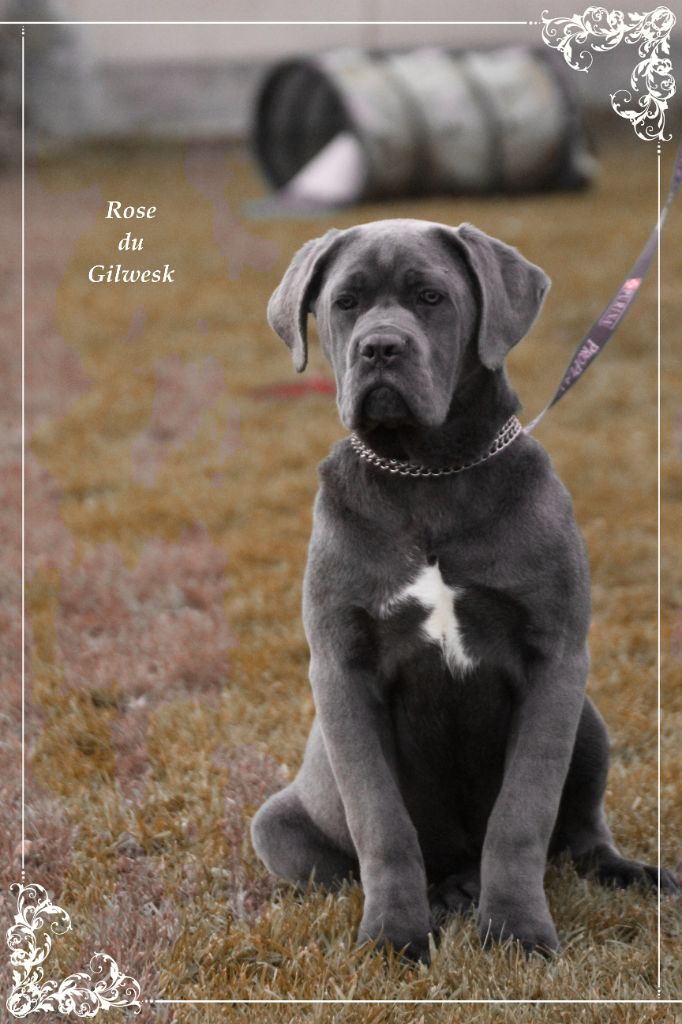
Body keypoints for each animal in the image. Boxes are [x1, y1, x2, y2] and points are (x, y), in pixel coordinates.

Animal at [251, 219, 678, 963]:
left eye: (431, 297)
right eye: (344, 302)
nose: (380, 347)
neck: (428, 475)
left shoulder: (554, 660)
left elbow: (522, 813)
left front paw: (518, 932)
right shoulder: (342, 669)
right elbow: (382, 821)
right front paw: (393, 938)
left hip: (589, 720)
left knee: (582, 836)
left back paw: (623, 876)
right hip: (276, 825)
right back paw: (446, 893)